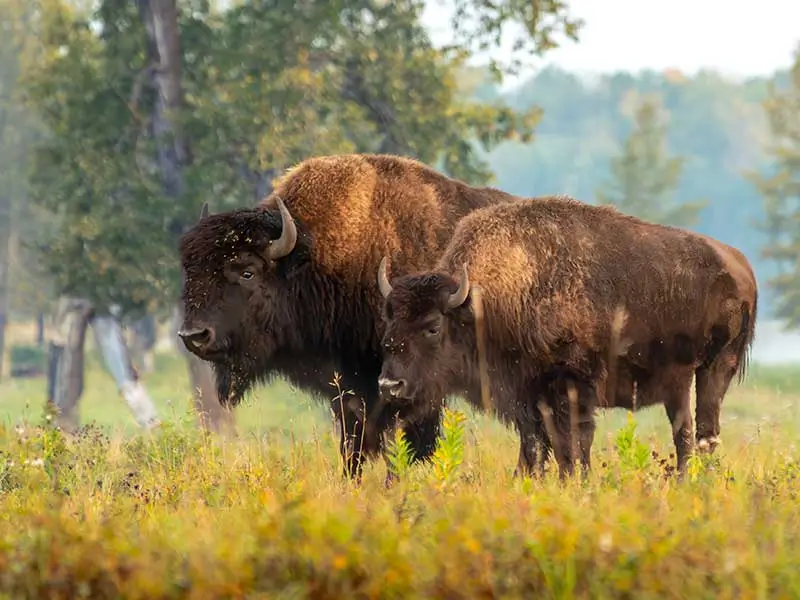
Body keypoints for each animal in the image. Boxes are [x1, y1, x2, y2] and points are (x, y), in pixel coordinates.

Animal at [376, 195, 758, 479]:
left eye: (433, 326)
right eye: (389, 320)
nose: (389, 385)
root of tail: (740, 265)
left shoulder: (572, 387)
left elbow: (572, 444)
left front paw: (577, 482)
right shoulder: (526, 397)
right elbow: (535, 446)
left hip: (716, 368)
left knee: (705, 431)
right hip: (678, 381)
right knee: (686, 434)